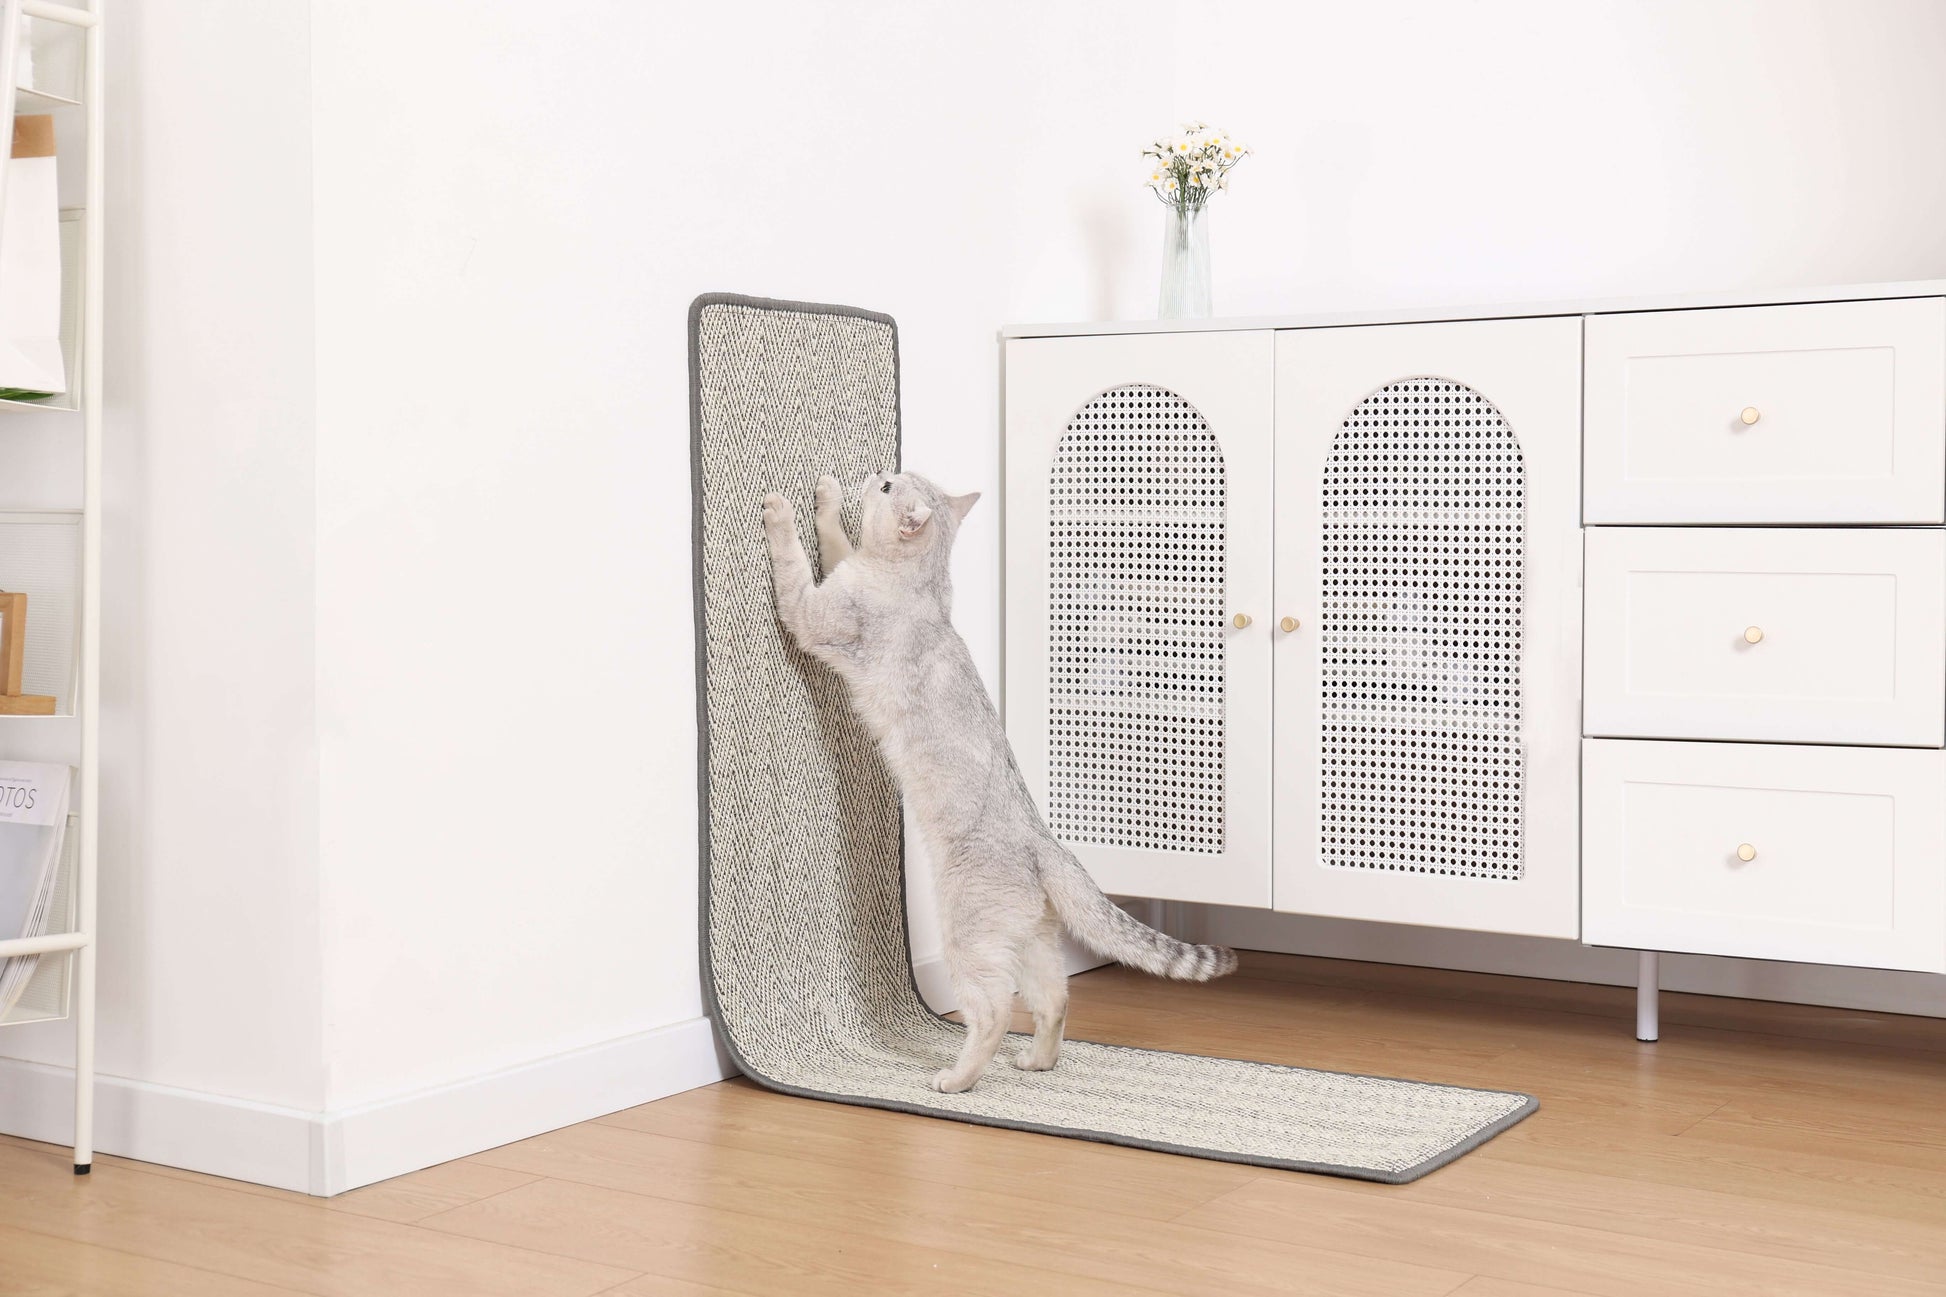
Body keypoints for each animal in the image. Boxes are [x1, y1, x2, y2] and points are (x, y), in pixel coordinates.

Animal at [758, 469, 1229, 1082]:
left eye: (886, 487)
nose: (876, 475)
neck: (921, 584)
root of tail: (1043, 841)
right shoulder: (841, 572)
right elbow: (835, 539)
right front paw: (828, 498)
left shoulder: (813, 613)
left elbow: (792, 561)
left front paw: (780, 510)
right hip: (1030, 941)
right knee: (1054, 1000)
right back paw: (1037, 1061)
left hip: (970, 935)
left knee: (994, 1012)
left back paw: (956, 1079)